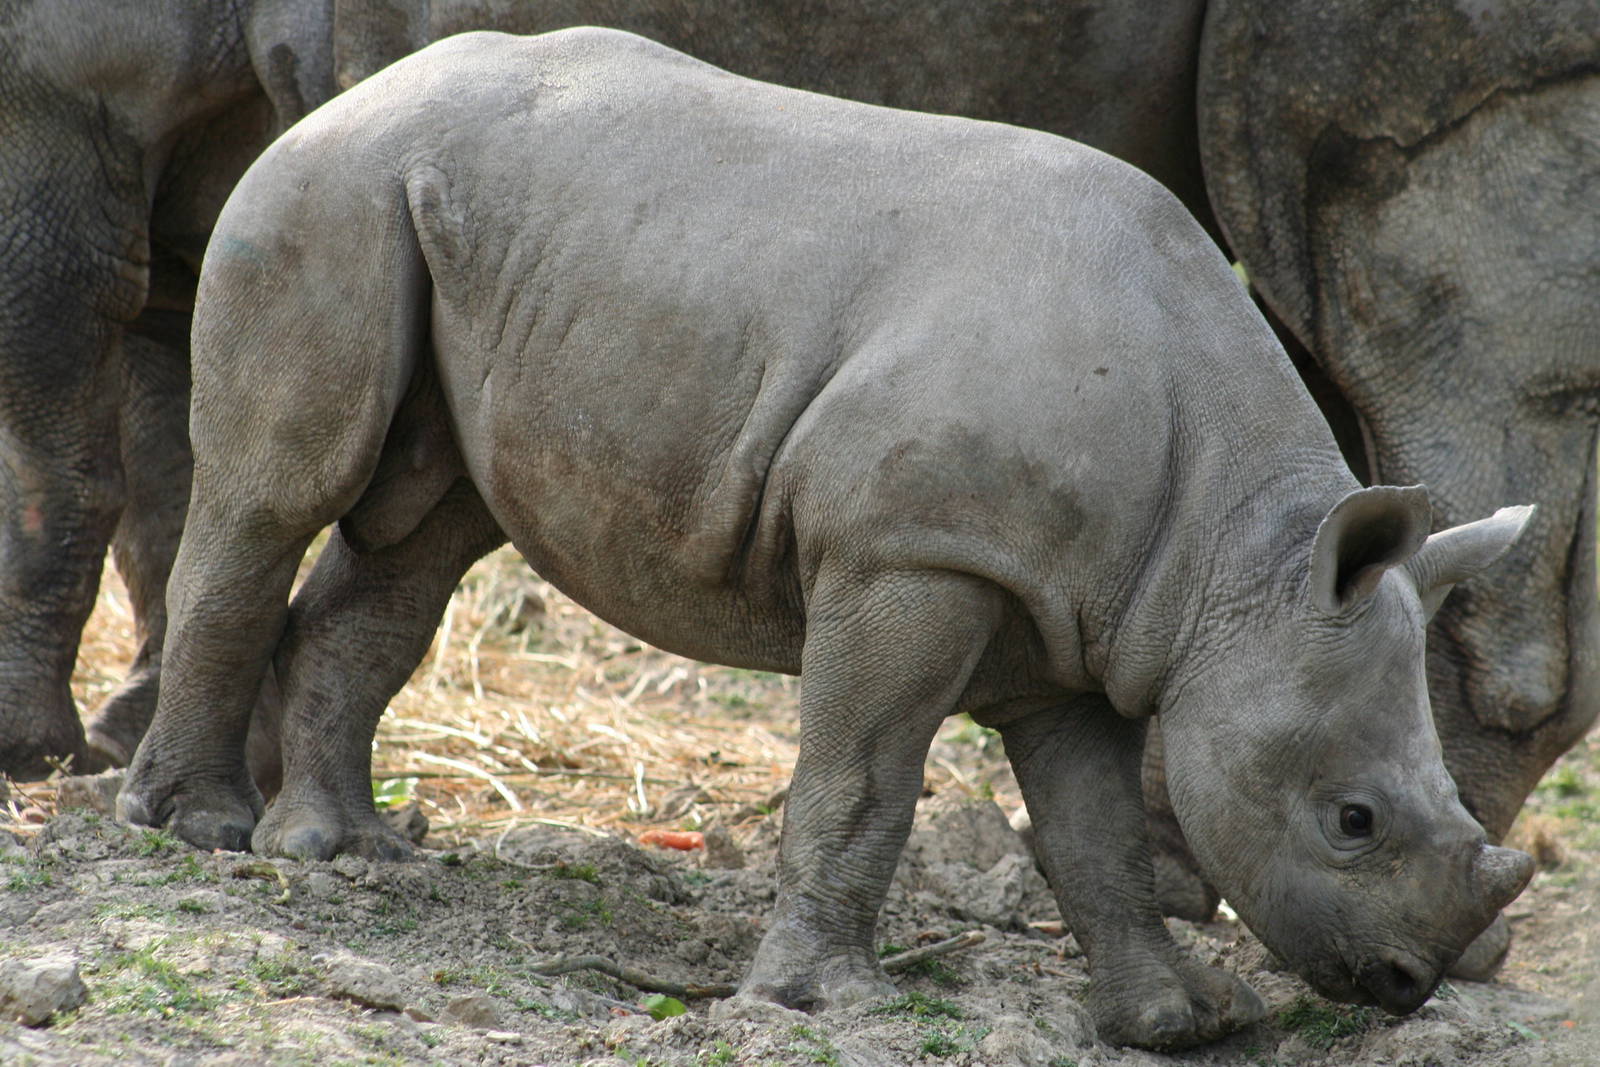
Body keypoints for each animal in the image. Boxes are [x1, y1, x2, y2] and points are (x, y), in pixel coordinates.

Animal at [117, 30, 1535, 1047]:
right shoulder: (912, 551)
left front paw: (1177, 1021)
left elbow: (1094, 830)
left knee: (418, 543)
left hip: (459, 225)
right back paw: (199, 832)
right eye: (1352, 819)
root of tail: (352, 94)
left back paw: (347, 851)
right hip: (329, 195)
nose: (1405, 983)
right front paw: (825, 1004)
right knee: (276, 495)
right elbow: (864, 774)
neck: (1237, 555)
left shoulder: (1092, 620)